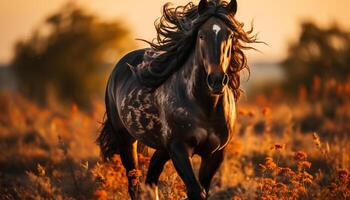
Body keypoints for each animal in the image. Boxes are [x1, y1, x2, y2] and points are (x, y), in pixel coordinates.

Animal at [97, 0, 256, 199]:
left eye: (230, 35)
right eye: (201, 35)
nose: (216, 80)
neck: (205, 108)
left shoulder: (214, 154)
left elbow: (202, 190)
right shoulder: (179, 149)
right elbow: (196, 191)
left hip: (162, 148)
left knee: (151, 178)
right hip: (126, 140)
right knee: (134, 185)